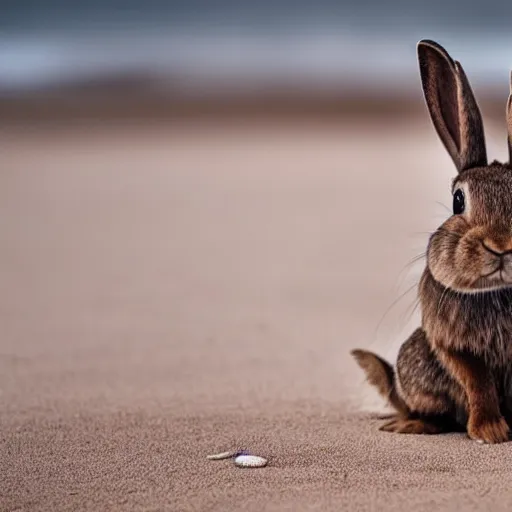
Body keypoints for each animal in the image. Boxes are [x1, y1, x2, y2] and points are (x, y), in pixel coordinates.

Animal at [352, 39, 512, 444]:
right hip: (415, 362)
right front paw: (490, 432)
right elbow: (477, 381)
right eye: (458, 200)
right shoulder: (450, 345)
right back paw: (411, 424)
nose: (501, 245)